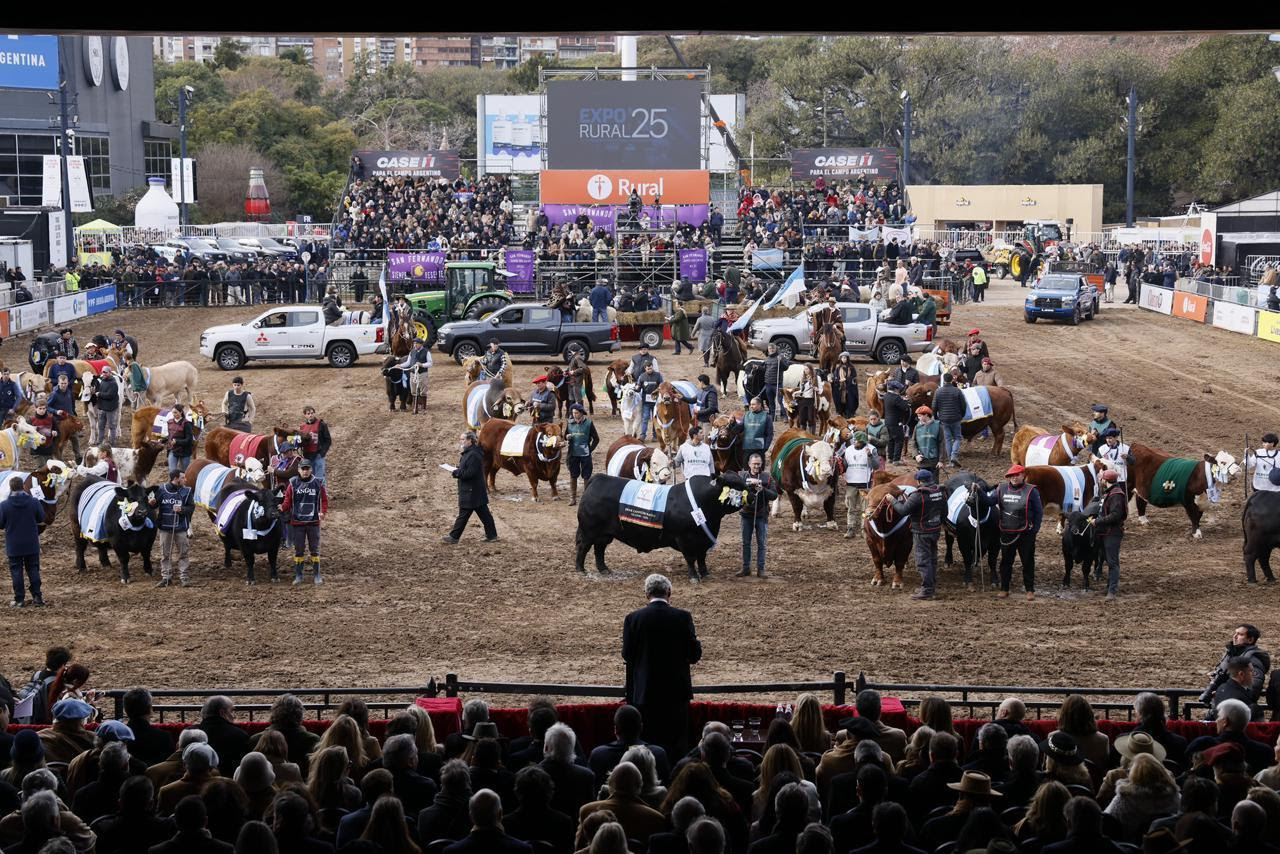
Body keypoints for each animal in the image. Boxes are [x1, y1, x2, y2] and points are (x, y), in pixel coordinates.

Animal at [573, 471, 750, 579]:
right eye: (736, 486)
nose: (753, 495)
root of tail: (598, 478)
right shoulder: (685, 539)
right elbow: (691, 558)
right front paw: (694, 576)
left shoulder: (703, 541)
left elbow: (701, 558)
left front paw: (705, 574)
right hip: (589, 530)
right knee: (584, 547)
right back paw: (580, 569)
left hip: (605, 534)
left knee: (599, 549)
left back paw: (604, 569)